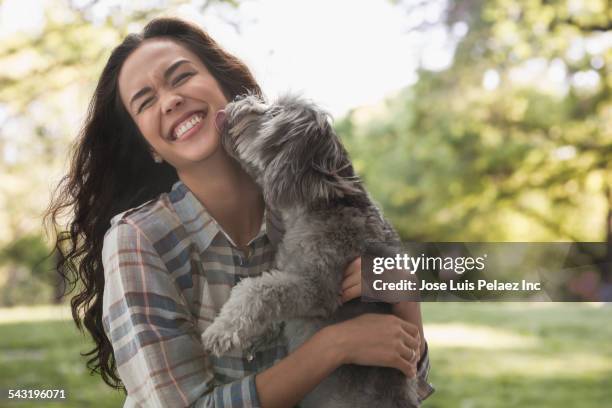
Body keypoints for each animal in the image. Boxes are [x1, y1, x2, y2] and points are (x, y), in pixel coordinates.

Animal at [201, 93, 420, 408]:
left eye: (273, 114)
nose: (235, 103)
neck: (320, 203)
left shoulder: (319, 289)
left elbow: (257, 290)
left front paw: (221, 331)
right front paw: (259, 335)